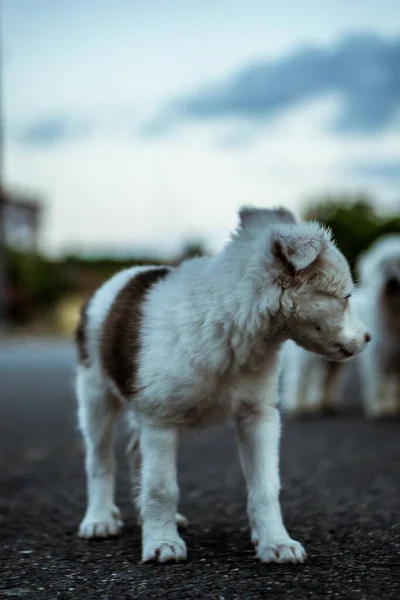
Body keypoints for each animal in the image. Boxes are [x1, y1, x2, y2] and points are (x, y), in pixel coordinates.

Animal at [74, 206, 368, 564]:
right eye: (346, 298)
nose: (368, 338)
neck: (231, 325)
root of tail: (121, 276)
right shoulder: (159, 419)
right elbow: (161, 487)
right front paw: (162, 542)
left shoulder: (259, 416)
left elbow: (265, 487)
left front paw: (275, 542)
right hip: (96, 394)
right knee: (100, 459)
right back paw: (100, 519)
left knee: (133, 452)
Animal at [282, 232, 400, 420]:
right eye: (383, 266)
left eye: (399, 264)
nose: (392, 281)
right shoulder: (379, 357)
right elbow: (379, 384)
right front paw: (381, 409)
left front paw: (394, 406)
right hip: (307, 358)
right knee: (300, 379)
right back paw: (300, 406)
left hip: (333, 361)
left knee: (327, 381)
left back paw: (326, 404)